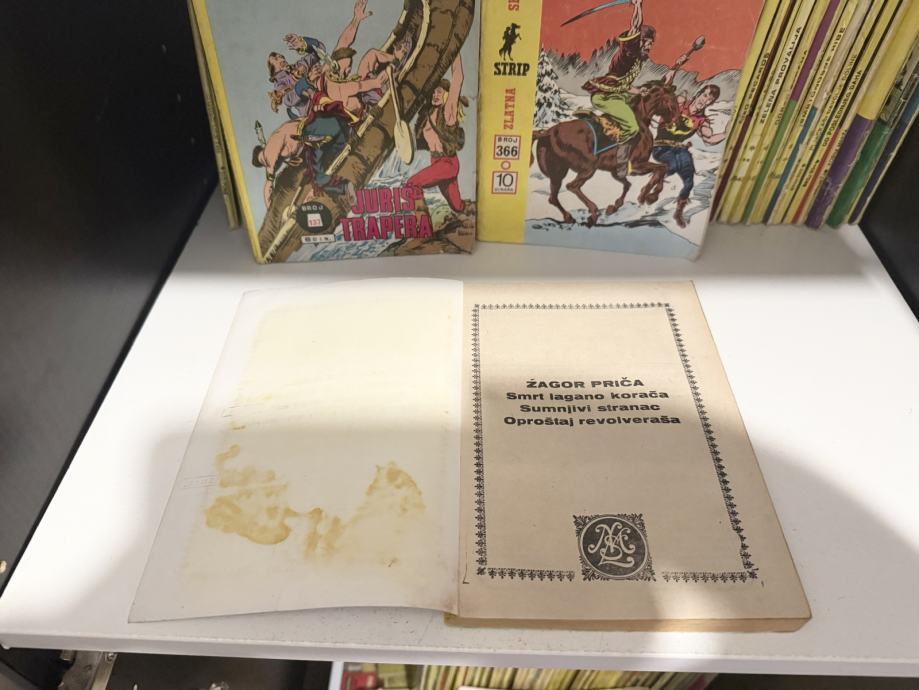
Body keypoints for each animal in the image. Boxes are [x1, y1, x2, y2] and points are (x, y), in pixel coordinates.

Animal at [531, 83, 681, 227]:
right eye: (672, 100)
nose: (675, 122)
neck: (640, 120)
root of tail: (548, 132)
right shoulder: (636, 165)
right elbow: (661, 168)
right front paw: (648, 196)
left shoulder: (616, 171)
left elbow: (628, 184)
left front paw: (614, 207)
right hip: (588, 167)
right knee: (572, 186)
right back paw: (593, 213)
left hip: (558, 172)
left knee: (553, 197)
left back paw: (570, 217)